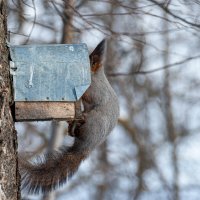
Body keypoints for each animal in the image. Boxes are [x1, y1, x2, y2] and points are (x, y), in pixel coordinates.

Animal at [18, 39, 119, 194]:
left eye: (90, 61)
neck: (95, 76)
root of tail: (84, 148)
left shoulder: (95, 91)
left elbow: (87, 94)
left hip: (94, 121)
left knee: (80, 128)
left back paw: (78, 121)